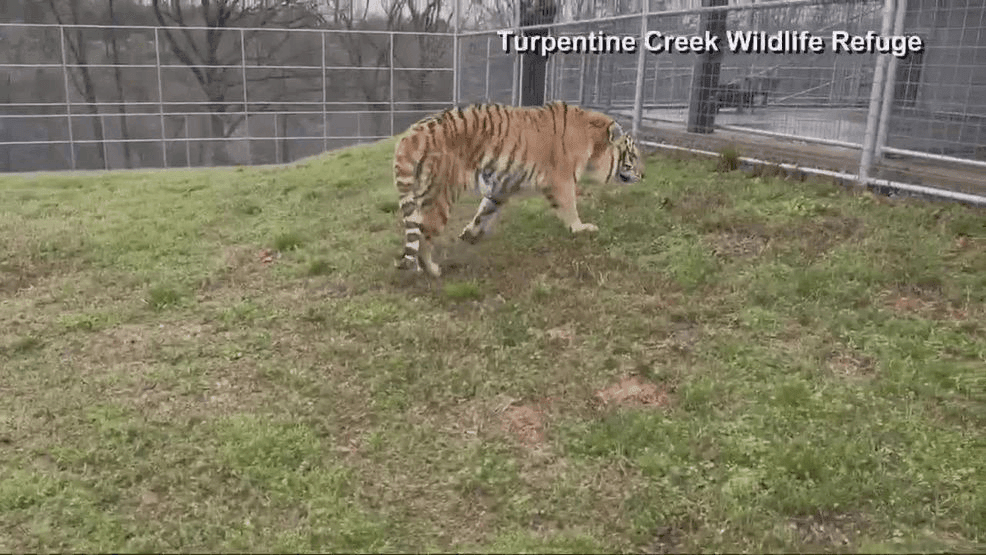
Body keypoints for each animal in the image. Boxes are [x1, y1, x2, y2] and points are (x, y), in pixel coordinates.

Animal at [393, 101, 645, 277]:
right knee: (424, 234)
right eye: (633, 155)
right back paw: (431, 269)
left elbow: (485, 210)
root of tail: (412, 135)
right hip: (441, 194)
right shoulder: (561, 181)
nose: (644, 174)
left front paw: (470, 234)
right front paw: (581, 228)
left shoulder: (502, 186)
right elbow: (570, 207)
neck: (592, 143)